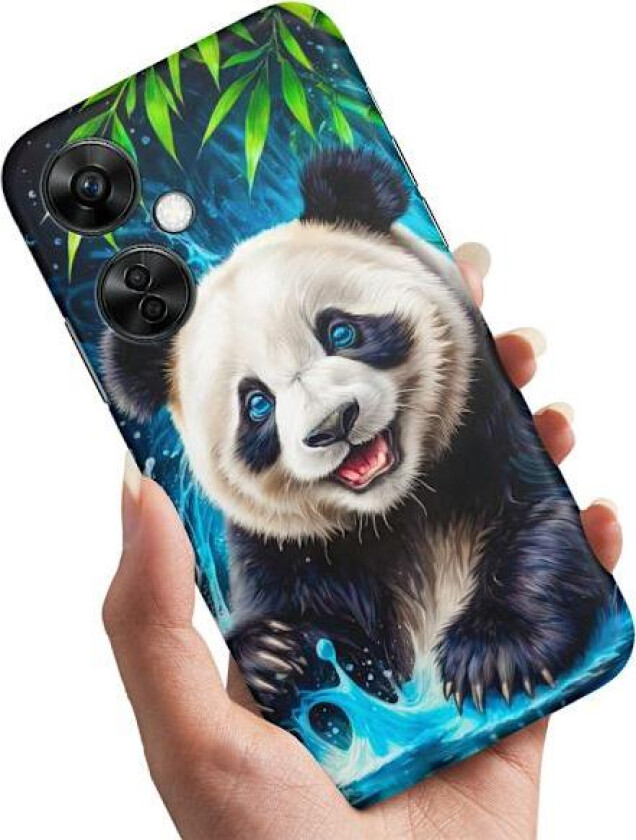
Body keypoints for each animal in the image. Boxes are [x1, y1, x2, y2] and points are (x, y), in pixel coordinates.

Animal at [102, 148, 612, 720]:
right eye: (257, 404)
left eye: (341, 331)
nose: (332, 424)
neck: (399, 511)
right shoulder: (282, 545)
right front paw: (275, 655)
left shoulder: (485, 418)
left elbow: (538, 519)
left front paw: (494, 653)